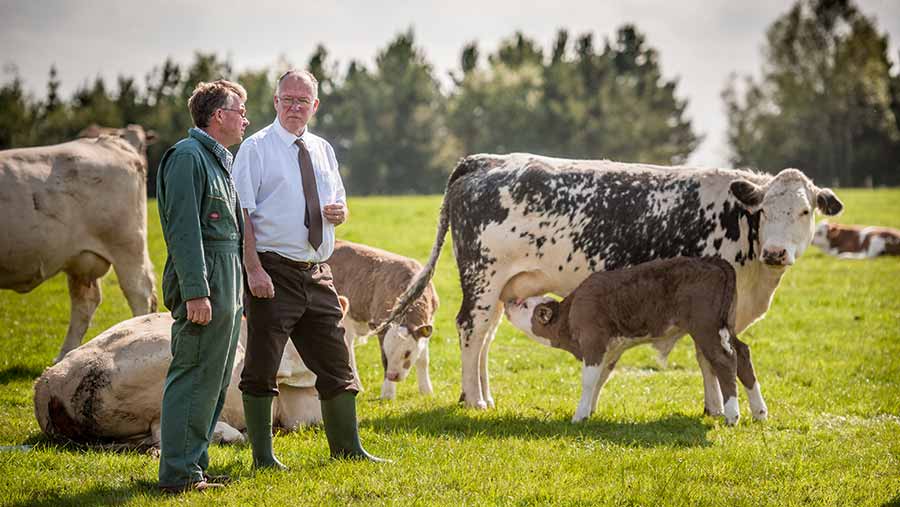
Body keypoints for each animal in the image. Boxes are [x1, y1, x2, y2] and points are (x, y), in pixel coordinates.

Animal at [0, 133, 157, 364]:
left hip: (126, 247)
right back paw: (64, 356)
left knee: (139, 294)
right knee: (85, 303)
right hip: (80, 260)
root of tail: (108, 141)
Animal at [506, 256, 768, 426]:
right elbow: (601, 377)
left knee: (725, 359)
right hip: (725, 325)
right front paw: (590, 410)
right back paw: (759, 411)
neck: (570, 315)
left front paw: (579, 416)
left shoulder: (593, 342)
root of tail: (716, 262)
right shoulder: (611, 348)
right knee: (742, 353)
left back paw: (732, 415)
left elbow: (589, 380)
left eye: (526, 305)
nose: (509, 301)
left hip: (707, 327)